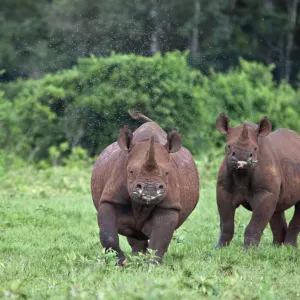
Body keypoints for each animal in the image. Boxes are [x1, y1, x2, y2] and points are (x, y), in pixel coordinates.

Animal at [91, 112, 199, 264]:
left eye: (167, 173)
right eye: (130, 171)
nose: (150, 189)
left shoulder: (169, 206)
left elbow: (160, 238)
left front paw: (152, 264)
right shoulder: (110, 198)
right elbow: (108, 233)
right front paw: (120, 262)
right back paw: (135, 256)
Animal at [216, 112, 300, 248]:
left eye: (255, 149)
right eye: (228, 146)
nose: (242, 157)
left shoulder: (265, 193)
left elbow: (255, 224)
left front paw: (249, 250)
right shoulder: (223, 191)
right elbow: (226, 223)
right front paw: (220, 248)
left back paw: (289, 247)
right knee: (277, 208)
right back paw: (276, 248)